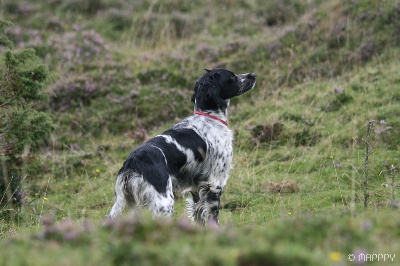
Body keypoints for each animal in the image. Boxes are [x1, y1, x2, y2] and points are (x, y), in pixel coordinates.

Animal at [108, 68, 255, 224]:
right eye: (232, 76)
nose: (253, 75)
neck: (209, 117)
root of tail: (132, 162)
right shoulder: (215, 183)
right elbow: (213, 217)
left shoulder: (197, 186)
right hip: (164, 202)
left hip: (124, 204)